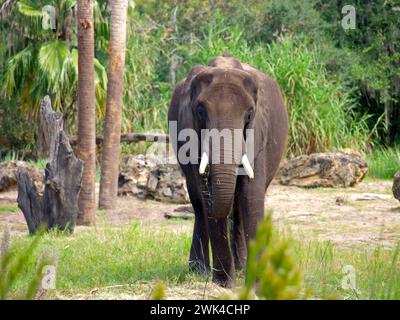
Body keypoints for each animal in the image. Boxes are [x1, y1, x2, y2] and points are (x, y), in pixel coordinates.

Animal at [168, 54, 288, 288]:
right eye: (200, 111)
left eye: (249, 114)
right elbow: (207, 197)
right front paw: (224, 284)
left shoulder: (258, 133)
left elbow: (251, 195)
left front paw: (257, 285)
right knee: (198, 204)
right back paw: (200, 271)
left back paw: (239, 267)